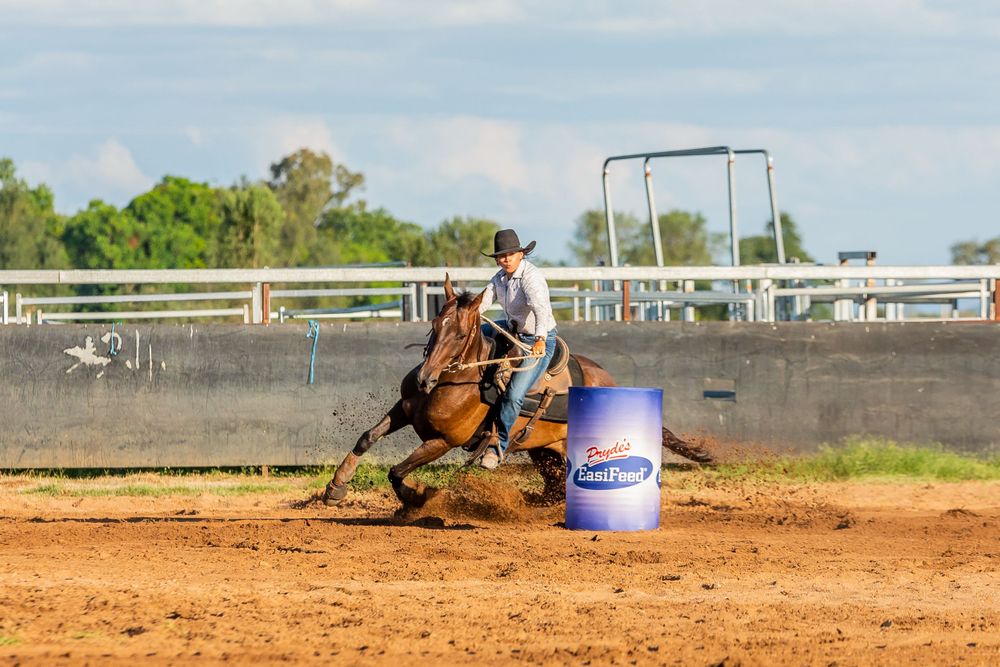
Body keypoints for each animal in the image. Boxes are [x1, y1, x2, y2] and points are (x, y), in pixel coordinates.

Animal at [322, 274, 713, 508]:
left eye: (460, 335)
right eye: (434, 323)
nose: (425, 379)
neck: (455, 382)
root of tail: (614, 385)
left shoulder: (443, 441)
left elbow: (397, 470)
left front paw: (417, 498)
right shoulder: (403, 408)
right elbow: (366, 438)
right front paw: (336, 486)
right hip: (545, 452)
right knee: (554, 489)